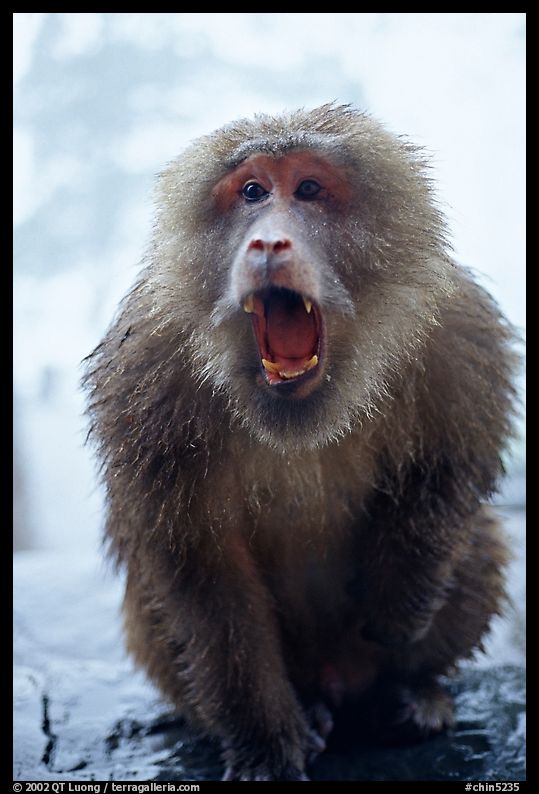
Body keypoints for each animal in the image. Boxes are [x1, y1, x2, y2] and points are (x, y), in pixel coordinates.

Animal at [83, 104, 517, 781]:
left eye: (309, 189)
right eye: (252, 193)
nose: (267, 243)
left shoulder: (452, 323)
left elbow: (453, 464)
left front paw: (398, 600)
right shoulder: (148, 372)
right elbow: (201, 568)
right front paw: (264, 741)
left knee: (476, 539)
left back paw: (411, 692)